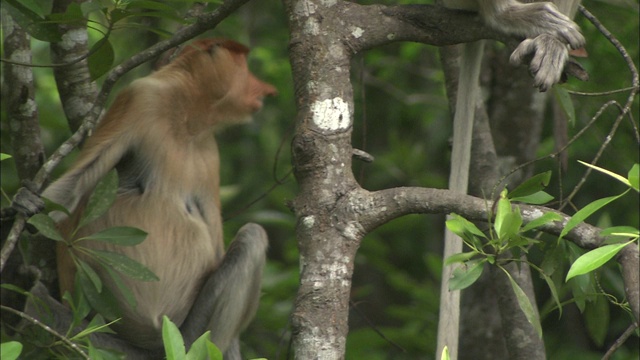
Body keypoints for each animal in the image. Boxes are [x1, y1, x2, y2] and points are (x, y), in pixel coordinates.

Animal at [39, 38, 276, 358]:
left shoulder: (209, 155)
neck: (186, 117)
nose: (264, 90)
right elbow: (81, 177)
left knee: (251, 238)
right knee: (253, 235)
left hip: (188, 331)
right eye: (243, 65)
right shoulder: (140, 97)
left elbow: (214, 245)